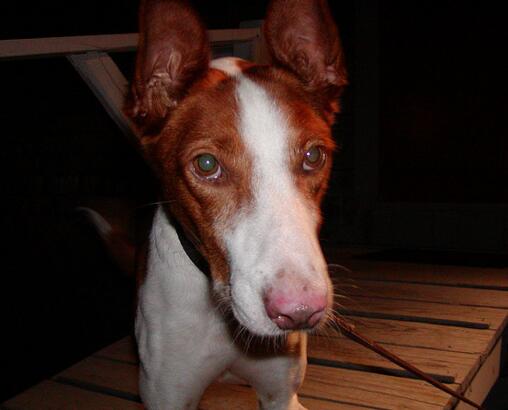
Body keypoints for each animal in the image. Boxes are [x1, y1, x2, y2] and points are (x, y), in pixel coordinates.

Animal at [124, 0, 347, 408]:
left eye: (314, 156)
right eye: (206, 164)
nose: (299, 313)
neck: (223, 317)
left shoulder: (280, 394)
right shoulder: (167, 394)